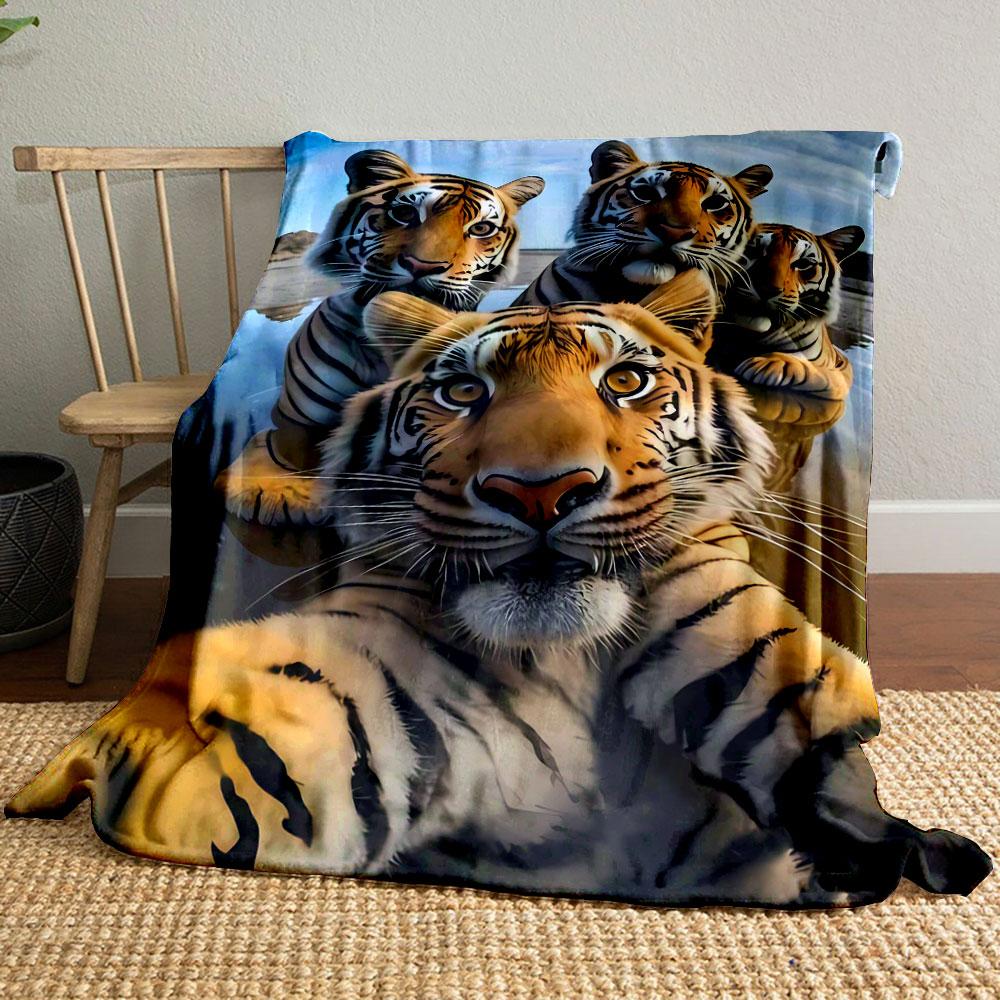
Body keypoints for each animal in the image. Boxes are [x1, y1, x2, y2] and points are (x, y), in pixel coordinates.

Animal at [9, 272, 989, 906]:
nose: (541, 492)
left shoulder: (722, 611)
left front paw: (892, 839)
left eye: (624, 379)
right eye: (461, 391)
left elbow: (795, 696)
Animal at [218, 148, 544, 524]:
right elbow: (286, 449)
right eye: (404, 214)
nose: (422, 266)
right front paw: (276, 492)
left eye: (480, 228)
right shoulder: (294, 421)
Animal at [712, 224, 865, 399]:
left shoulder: (837, 375)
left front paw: (768, 364)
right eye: (753, 250)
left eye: (804, 263)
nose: (767, 289)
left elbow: (809, 368)